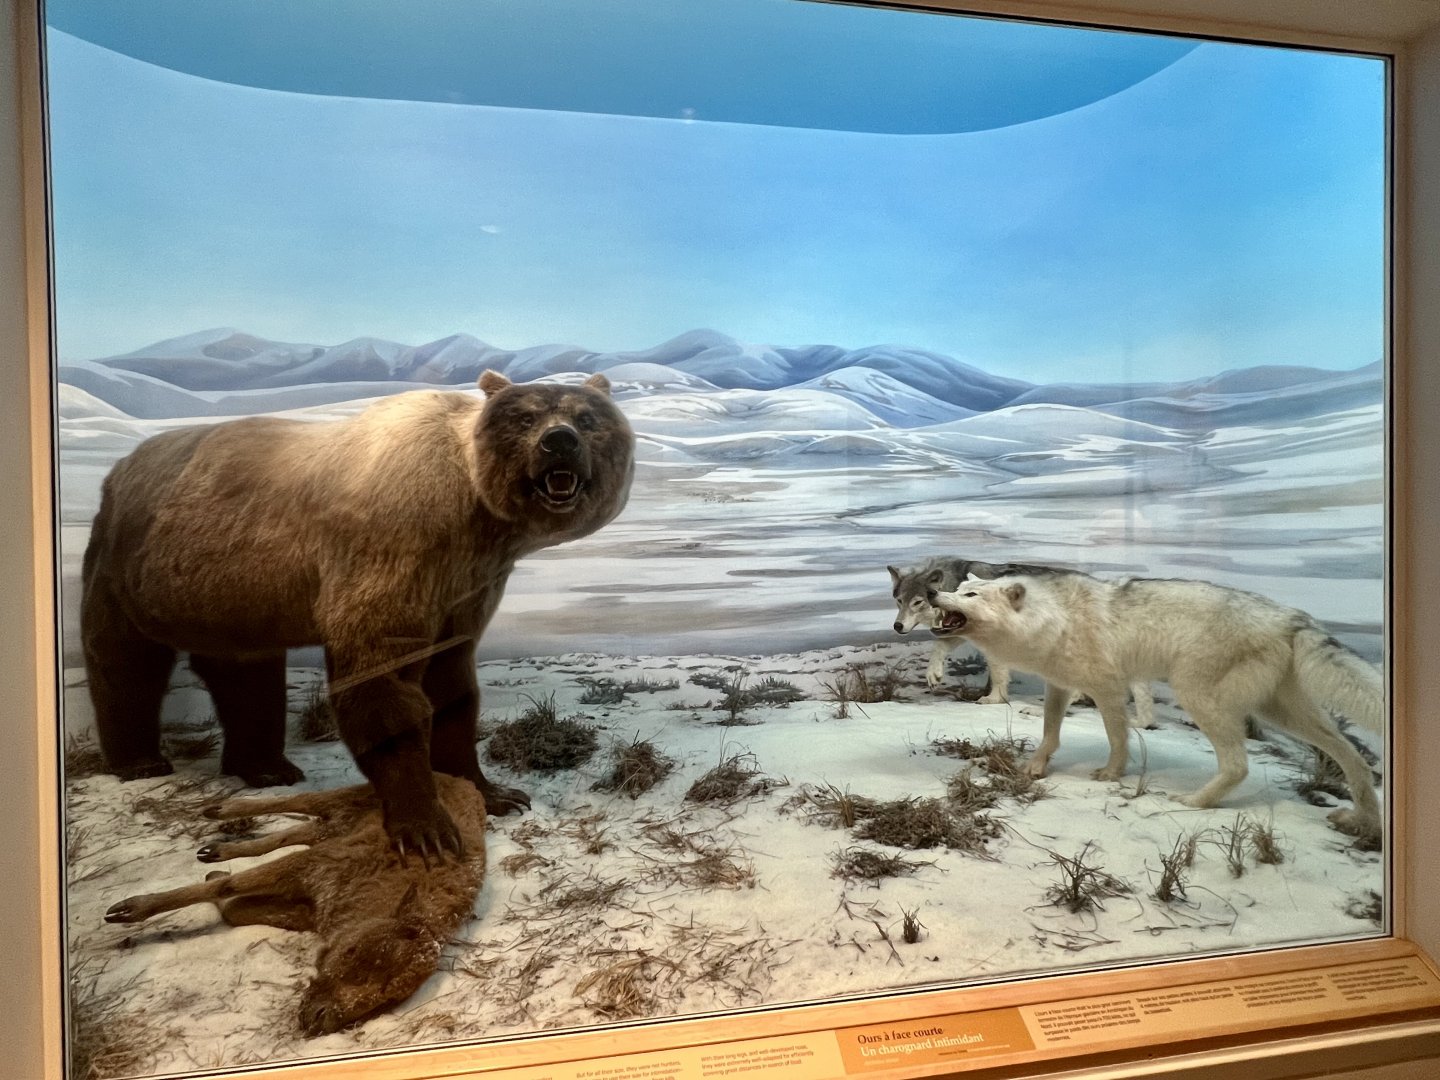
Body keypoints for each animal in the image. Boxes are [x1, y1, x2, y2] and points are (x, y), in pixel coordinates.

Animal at [81, 369, 634, 859]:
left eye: (587, 418)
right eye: (525, 417)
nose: (559, 442)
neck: (474, 515)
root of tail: (119, 466)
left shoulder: (464, 585)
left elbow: (453, 686)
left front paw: (496, 792)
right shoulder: (395, 548)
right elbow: (381, 676)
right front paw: (426, 827)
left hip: (229, 591)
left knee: (244, 671)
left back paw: (267, 768)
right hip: (129, 565)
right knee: (124, 661)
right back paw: (141, 762)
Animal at [889, 558, 1154, 726]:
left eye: (918, 602)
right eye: (899, 601)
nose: (897, 627)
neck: (953, 583)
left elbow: (997, 675)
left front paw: (993, 699)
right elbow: (941, 646)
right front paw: (934, 674)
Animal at [928, 571, 1384, 841]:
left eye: (970, 593)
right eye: (956, 590)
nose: (932, 592)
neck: (1055, 618)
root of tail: (1291, 615)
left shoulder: (1109, 689)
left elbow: (1117, 737)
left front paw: (1111, 774)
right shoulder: (1059, 686)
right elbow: (1049, 734)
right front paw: (1035, 768)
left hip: (1199, 696)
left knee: (1239, 765)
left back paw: (1194, 803)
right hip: (1282, 714)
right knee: (1352, 756)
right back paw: (1363, 820)